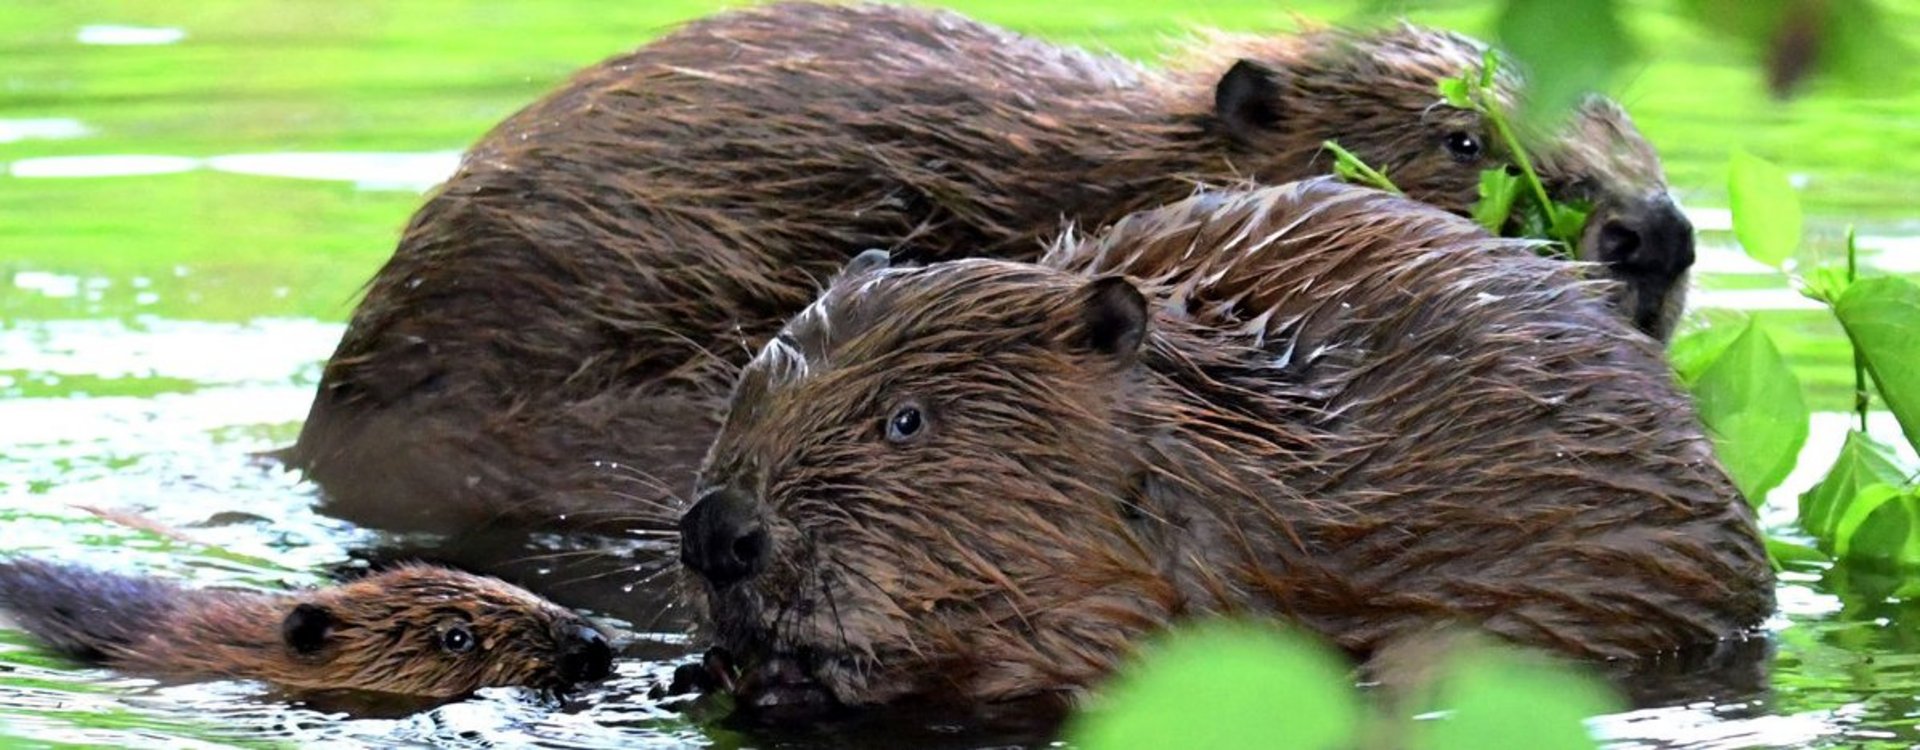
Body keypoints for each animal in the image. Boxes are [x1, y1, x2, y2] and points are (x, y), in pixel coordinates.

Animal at [679, 179, 1766, 713]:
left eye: (905, 420)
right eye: (744, 392)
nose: (717, 533)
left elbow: (1112, 647)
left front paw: (797, 679)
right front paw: (710, 669)